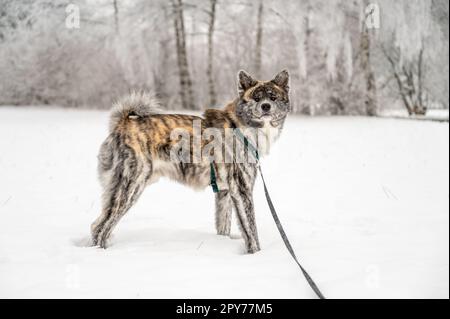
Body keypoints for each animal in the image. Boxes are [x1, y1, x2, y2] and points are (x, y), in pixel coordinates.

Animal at [90, 69, 292, 254]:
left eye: (272, 97)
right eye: (256, 98)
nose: (265, 106)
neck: (242, 128)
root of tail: (123, 123)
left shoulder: (225, 193)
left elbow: (223, 225)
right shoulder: (242, 190)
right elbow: (251, 231)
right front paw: (256, 255)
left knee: (97, 225)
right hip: (130, 186)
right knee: (102, 227)